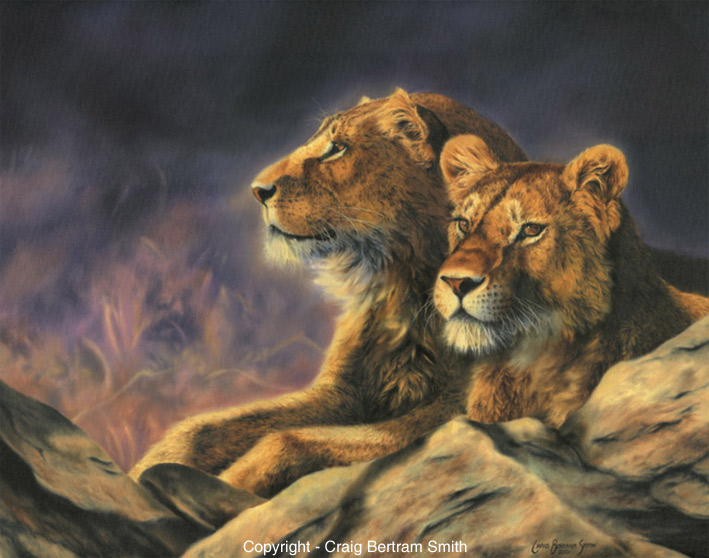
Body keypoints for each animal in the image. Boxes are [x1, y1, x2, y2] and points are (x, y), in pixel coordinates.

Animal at [130, 89, 527, 496]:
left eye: (337, 149)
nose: (258, 191)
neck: (404, 285)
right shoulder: (343, 391)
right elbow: (204, 428)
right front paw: (147, 468)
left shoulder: (467, 406)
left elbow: (293, 439)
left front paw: (230, 483)